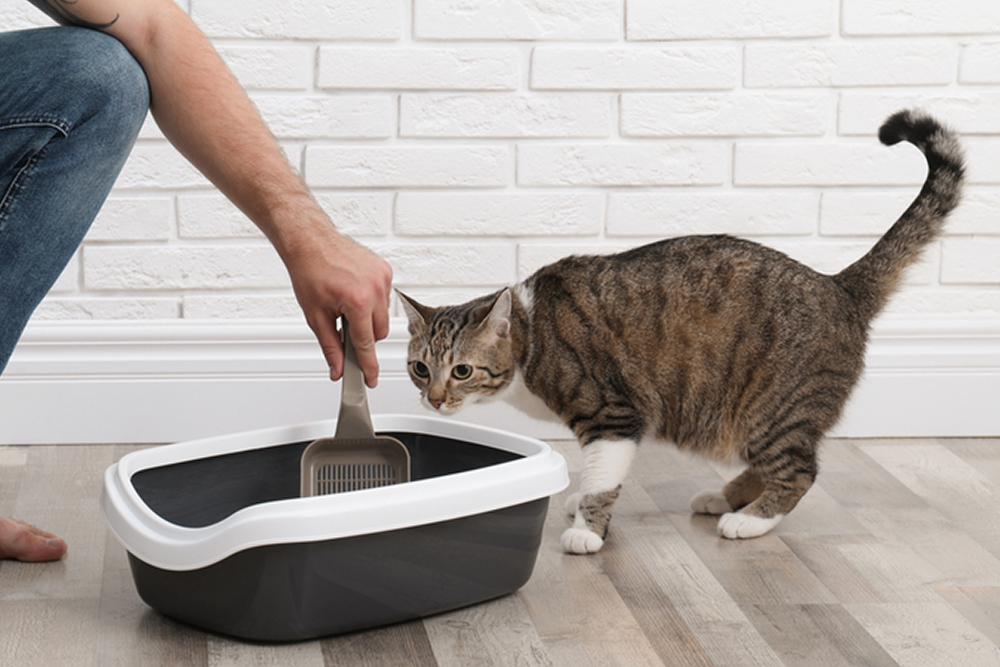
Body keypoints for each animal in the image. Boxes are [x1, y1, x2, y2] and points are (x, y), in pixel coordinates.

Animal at [396, 109, 960, 556]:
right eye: (420, 367)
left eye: (461, 370)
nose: (434, 399)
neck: (533, 333)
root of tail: (837, 285)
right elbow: (596, 474)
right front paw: (580, 504)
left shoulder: (613, 415)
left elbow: (602, 477)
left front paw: (587, 529)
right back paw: (723, 496)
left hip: (771, 407)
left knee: (800, 470)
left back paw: (749, 520)